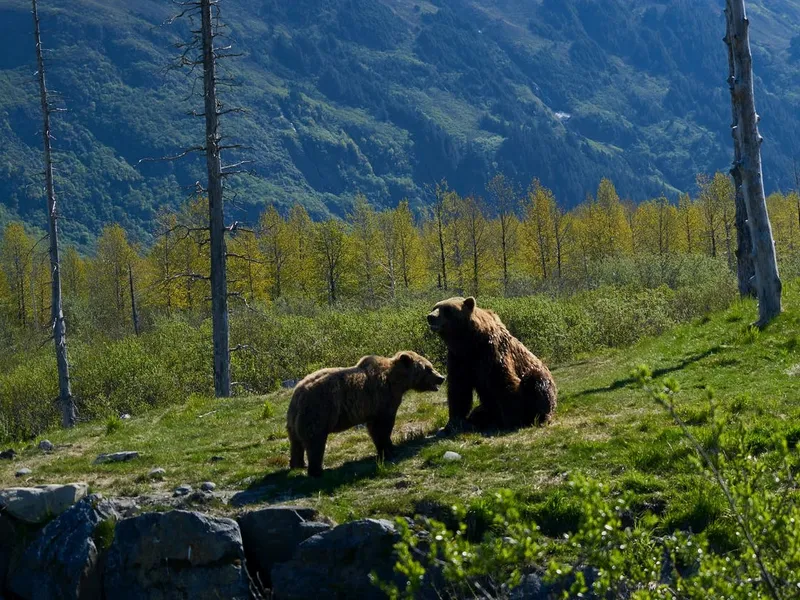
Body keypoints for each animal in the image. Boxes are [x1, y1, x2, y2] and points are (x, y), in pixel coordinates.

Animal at [286, 350, 450, 476]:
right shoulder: (383, 398)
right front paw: (388, 449)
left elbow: (374, 428)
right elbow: (383, 426)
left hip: (294, 419)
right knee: (315, 440)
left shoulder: (373, 407)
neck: (398, 382)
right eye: (428, 368)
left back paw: (298, 464)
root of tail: (299, 393)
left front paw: (388, 447)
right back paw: (317, 470)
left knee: (296, 442)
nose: (441, 378)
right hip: (319, 410)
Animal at [424, 298, 556, 434]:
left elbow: (503, 381)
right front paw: (452, 423)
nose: (430, 317)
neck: (470, 342)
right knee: (479, 412)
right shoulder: (459, 359)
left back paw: (540, 417)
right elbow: (458, 388)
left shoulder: (492, 352)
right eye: (434, 307)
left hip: (538, 380)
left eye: (447, 309)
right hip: (487, 406)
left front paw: (513, 420)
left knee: (537, 383)